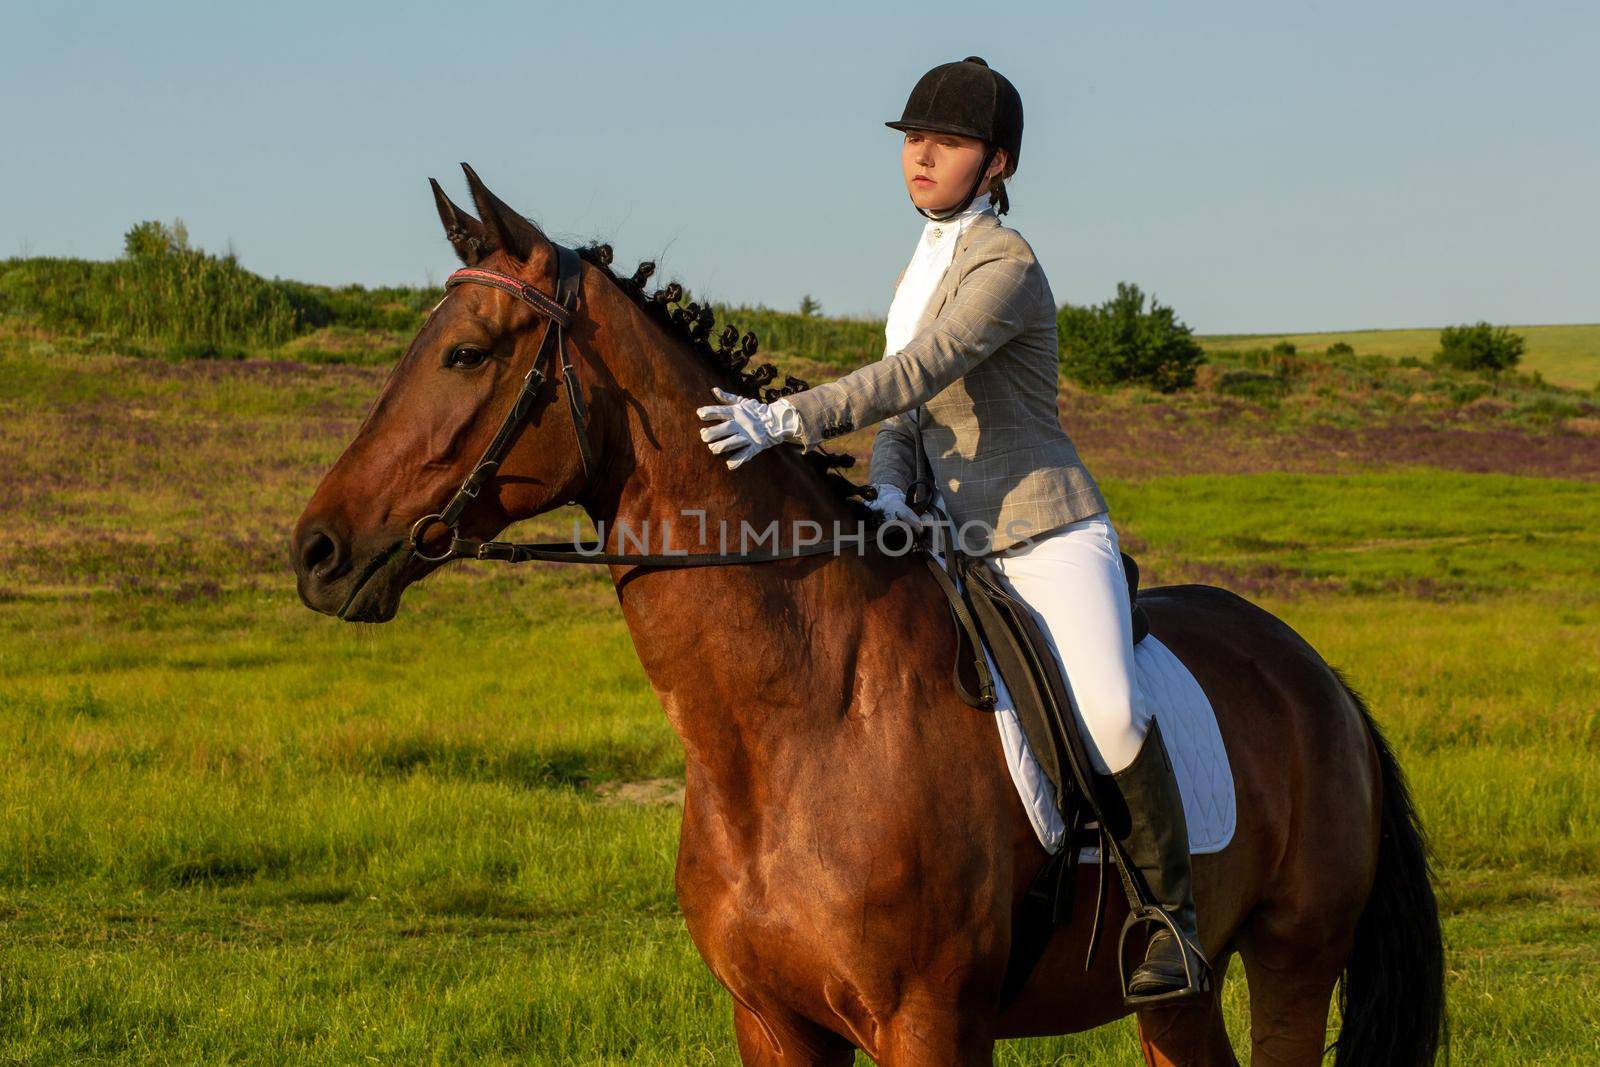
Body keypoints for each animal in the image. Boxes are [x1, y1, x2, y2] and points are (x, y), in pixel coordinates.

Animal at [291, 163, 1452, 1062]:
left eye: (466, 354)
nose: (316, 552)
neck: (796, 719)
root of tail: (1317, 674)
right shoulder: (772, 1022)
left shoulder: (928, 1023)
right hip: (1180, 998)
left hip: (1295, 955)